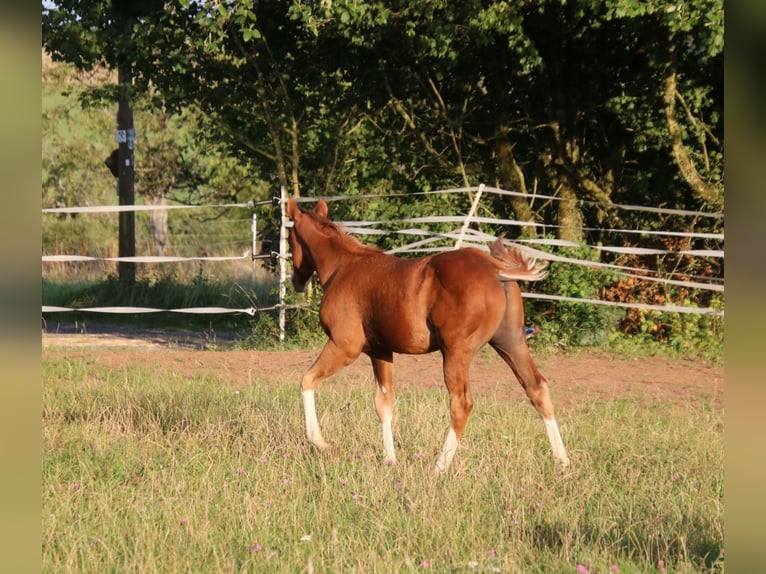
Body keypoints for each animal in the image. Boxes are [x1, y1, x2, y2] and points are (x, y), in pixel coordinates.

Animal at [287, 198, 570, 473]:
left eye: (290, 239)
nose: (296, 282)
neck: (344, 267)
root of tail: (495, 269)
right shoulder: (380, 350)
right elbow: (384, 404)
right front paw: (390, 461)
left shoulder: (345, 346)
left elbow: (307, 380)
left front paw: (320, 442)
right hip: (511, 342)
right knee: (537, 389)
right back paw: (563, 463)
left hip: (456, 351)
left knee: (461, 403)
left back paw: (438, 469)